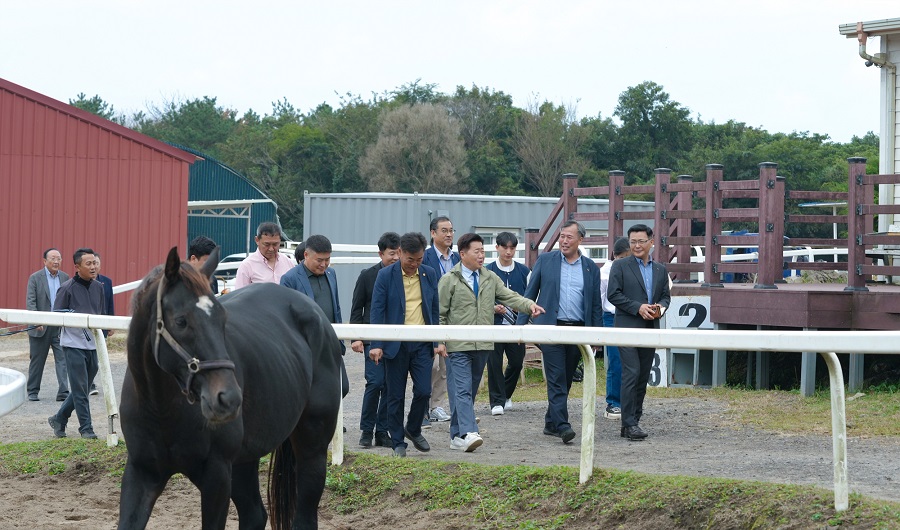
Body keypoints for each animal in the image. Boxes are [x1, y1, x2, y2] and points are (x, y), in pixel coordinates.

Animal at [119, 248, 344, 528]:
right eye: (181, 321)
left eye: (222, 319)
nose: (228, 399)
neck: (161, 408)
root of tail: (315, 313)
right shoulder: (141, 473)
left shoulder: (216, 476)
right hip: (243, 461)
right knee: (254, 514)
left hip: (311, 450)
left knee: (303, 515)